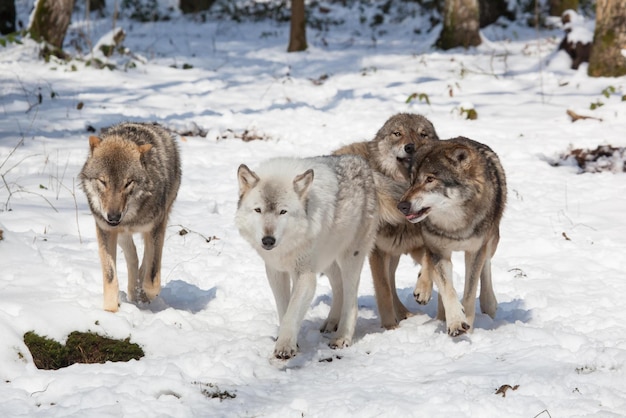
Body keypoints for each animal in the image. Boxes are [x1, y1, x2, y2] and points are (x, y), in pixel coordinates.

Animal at [78, 121, 180, 310]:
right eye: (103, 181)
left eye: (128, 183)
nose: (113, 217)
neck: (131, 218)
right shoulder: (105, 230)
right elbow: (110, 276)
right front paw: (110, 310)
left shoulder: (156, 228)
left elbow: (152, 276)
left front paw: (147, 294)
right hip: (122, 235)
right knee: (133, 257)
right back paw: (133, 290)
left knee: (145, 260)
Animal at [234, 155, 378, 358]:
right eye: (258, 210)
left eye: (283, 211)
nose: (268, 240)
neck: (286, 248)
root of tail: (361, 161)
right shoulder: (275, 272)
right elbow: (284, 309)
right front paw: (291, 342)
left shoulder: (305, 276)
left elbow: (292, 312)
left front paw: (285, 347)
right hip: (326, 260)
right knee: (338, 286)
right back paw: (331, 322)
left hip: (350, 257)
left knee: (351, 300)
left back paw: (342, 337)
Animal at [332, 113, 438, 330]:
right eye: (397, 133)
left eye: (423, 134)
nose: (410, 147)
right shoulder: (377, 251)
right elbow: (383, 289)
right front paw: (390, 327)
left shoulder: (418, 243)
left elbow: (428, 262)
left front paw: (423, 290)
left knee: (392, 279)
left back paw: (405, 313)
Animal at [398, 137, 504, 336]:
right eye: (412, 179)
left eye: (430, 179)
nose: (401, 206)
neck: (454, 225)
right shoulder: (439, 251)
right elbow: (447, 289)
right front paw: (455, 321)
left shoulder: (475, 251)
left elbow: (469, 293)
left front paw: (467, 326)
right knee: (428, 261)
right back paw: (425, 291)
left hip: (492, 239)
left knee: (486, 264)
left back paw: (489, 303)